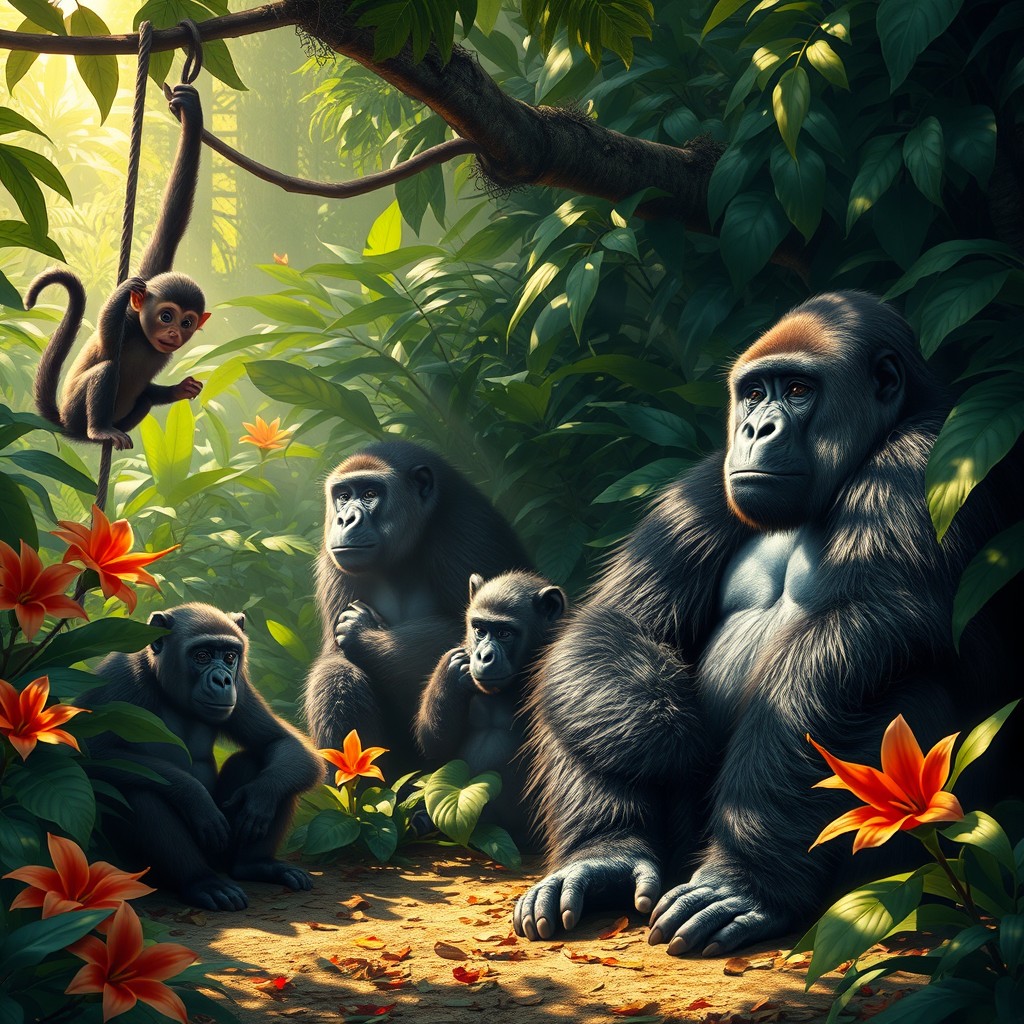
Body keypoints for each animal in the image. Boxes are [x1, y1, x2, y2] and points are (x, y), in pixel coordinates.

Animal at [26, 84, 209, 451]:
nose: (173, 333)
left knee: (145, 398)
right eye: (166, 316)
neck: (144, 336)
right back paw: (101, 430)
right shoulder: (128, 319)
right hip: (77, 410)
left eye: (186, 322)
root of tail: (67, 424)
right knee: (106, 369)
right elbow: (108, 342)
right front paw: (125, 288)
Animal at [82, 603, 323, 911]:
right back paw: (201, 882)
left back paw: (255, 864)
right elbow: (93, 753)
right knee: (137, 791)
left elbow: (283, 743)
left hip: (222, 855)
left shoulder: (242, 687)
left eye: (230, 656)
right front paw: (194, 796)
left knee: (264, 762)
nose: (222, 679)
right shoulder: (116, 680)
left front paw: (262, 795)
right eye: (202, 655)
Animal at [304, 440, 532, 777]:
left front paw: (363, 633)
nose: (344, 519)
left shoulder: (468, 529)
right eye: (343, 496)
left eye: (370, 493)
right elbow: (334, 657)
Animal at [513, 291, 1019, 956]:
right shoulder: (706, 480)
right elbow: (617, 625)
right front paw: (660, 733)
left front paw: (744, 875)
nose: (756, 429)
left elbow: (858, 637)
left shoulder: (924, 460)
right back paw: (603, 855)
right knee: (583, 699)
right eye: (754, 393)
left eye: (800, 388)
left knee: (893, 687)